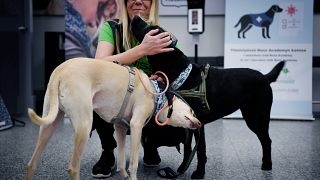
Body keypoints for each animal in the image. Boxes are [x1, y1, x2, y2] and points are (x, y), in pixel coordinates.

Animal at [26, 58, 200, 180]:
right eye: (192, 110)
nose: (199, 124)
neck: (155, 92)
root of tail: (60, 72)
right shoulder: (136, 126)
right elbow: (134, 162)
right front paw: (132, 177)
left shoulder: (120, 129)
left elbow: (122, 160)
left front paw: (124, 176)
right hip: (84, 127)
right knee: (73, 168)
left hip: (48, 126)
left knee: (31, 164)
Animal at [130, 15, 284, 179]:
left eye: (150, 28)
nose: (136, 17)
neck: (181, 73)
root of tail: (265, 77)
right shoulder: (188, 122)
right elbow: (188, 148)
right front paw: (183, 168)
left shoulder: (199, 124)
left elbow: (200, 151)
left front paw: (199, 172)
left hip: (256, 117)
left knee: (267, 140)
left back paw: (267, 164)